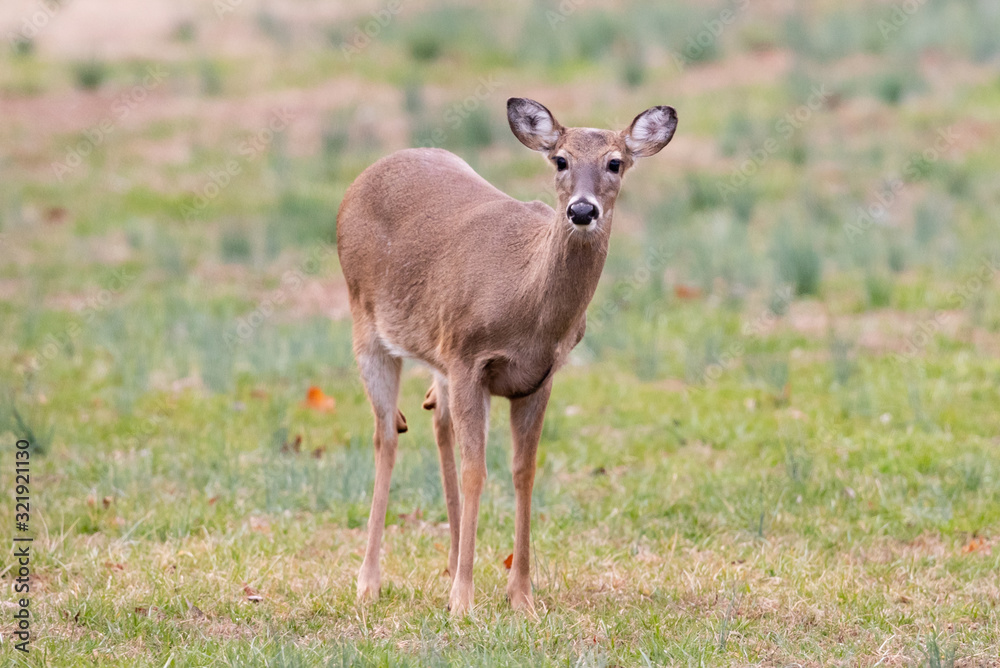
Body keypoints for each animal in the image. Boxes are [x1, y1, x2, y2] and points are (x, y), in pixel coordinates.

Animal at [336, 97, 677, 615]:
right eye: (560, 160)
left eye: (615, 163)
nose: (582, 210)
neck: (526, 307)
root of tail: (364, 177)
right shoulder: (467, 355)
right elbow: (476, 470)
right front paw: (463, 600)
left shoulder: (538, 376)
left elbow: (523, 472)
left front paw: (521, 596)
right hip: (367, 324)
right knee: (386, 437)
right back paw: (370, 582)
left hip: (436, 353)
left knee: (436, 422)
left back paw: (448, 563)